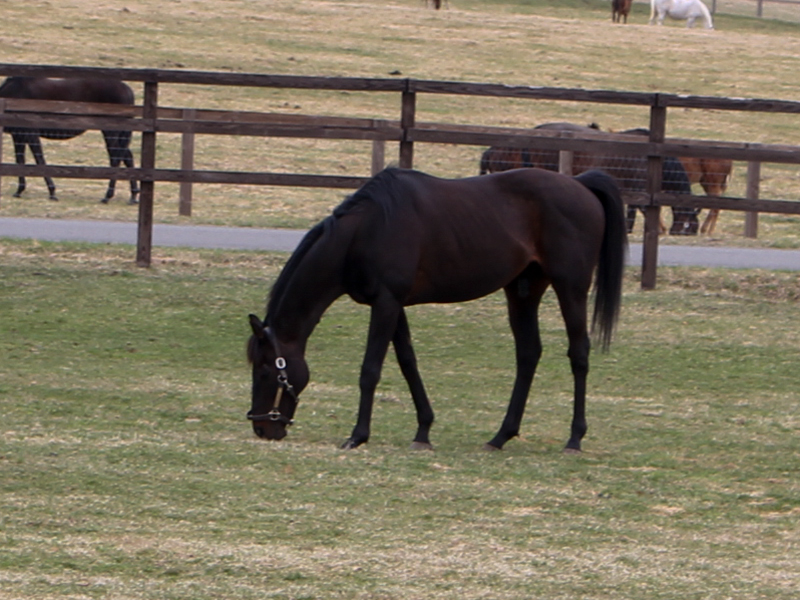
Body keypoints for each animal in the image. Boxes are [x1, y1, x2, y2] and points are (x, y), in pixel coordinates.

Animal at [0, 76, 140, 204]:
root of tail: (126, 89)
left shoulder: (30, 133)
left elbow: (39, 160)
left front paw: (52, 192)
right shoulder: (18, 135)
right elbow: (20, 160)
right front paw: (19, 190)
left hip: (111, 131)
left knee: (116, 158)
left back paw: (107, 196)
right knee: (127, 157)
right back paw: (133, 196)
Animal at [247, 167, 627, 453]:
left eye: (266, 370)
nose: (263, 428)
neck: (367, 230)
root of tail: (580, 184)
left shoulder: (386, 303)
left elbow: (370, 369)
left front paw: (358, 435)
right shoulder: (393, 304)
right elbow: (407, 363)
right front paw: (423, 431)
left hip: (570, 287)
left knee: (578, 354)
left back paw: (574, 438)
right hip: (523, 291)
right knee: (528, 354)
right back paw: (501, 436)